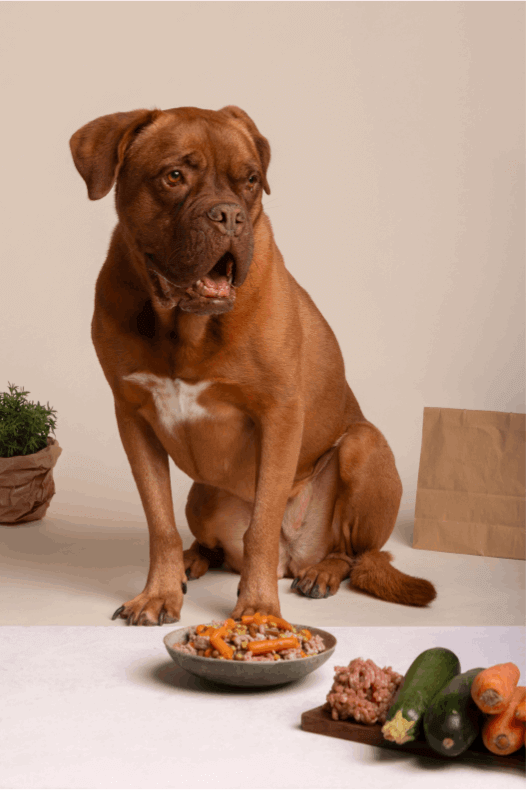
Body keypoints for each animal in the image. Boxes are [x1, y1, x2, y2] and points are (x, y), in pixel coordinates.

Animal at [71, 105, 438, 624]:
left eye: (249, 180)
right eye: (174, 176)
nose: (229, 216)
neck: (184, 327)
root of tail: (294, 557)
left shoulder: (279, 415)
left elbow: (260, 528)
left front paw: (260, 605)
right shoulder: (133, 419)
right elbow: (159, 523)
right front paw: (159, 591)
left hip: (364, 447)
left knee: (357, 554)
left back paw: (322, 571)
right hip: (202, 493)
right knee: (214, 544)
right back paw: (194, 559)